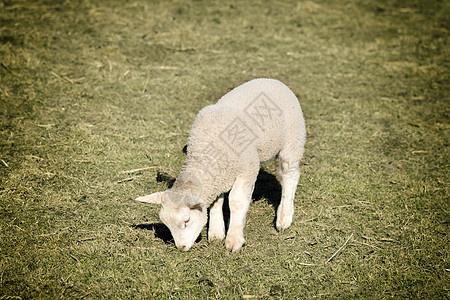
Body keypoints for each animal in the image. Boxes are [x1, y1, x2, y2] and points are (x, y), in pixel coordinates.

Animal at [136, 77, 306, 251]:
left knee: (290, 175)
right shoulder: (219, 176)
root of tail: (268, 79)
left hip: (293, 140)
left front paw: (234, 239)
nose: (181, 247)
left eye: (186, 220)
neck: (206, 153)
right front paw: (217, 232)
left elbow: (236, 201)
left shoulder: (247, 168)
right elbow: (216, 202)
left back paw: (284, 218)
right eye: (166, 224)